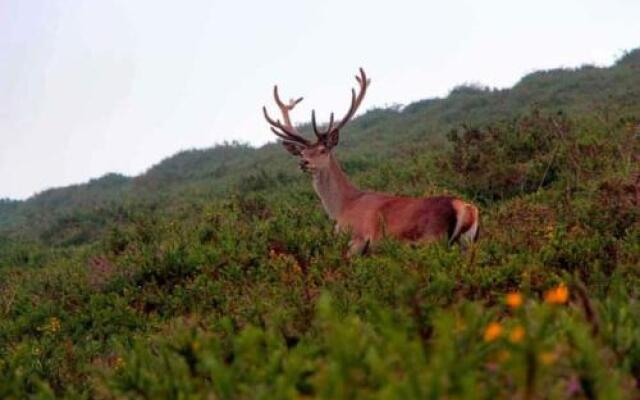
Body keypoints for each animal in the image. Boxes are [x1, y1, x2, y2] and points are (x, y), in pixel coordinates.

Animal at [262, 68, 478, 256]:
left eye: (323, 150)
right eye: (302, 153)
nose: (304, 163)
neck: (342, 207)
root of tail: (466, 210)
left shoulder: (357, 240)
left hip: (431, 239)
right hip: (466, 243)